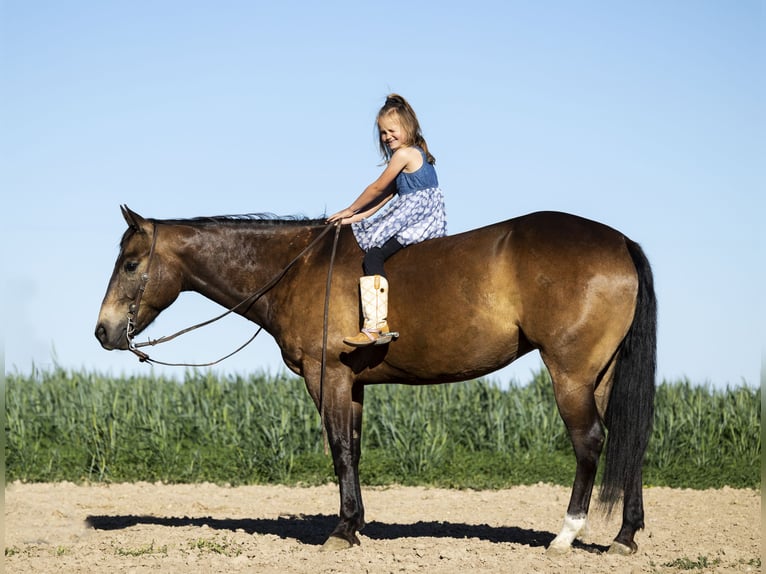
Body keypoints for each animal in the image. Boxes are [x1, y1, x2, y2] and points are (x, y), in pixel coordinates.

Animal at [96, 207, 656, 560]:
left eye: (131, 263)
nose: (103, 331)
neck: (297, 268)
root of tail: (620, 242)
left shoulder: (327, 376)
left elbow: (340, 449)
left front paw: (343, 531)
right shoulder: (354, 383)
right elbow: (355, 448)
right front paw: (357, 523)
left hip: (571, 375)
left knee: (590, 442)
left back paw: (566, 535)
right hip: (601, 376)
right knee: (629, 442)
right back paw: (624, 536)